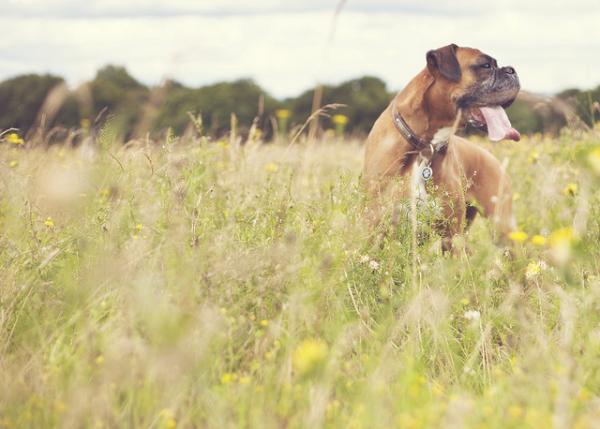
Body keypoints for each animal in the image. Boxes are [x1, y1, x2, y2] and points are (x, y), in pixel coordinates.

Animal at [364, 44, 524, 249]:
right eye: (486, 66)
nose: (512, 70)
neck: (424, 148)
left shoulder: (451, 235)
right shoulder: (372, 225)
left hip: (502, 230)